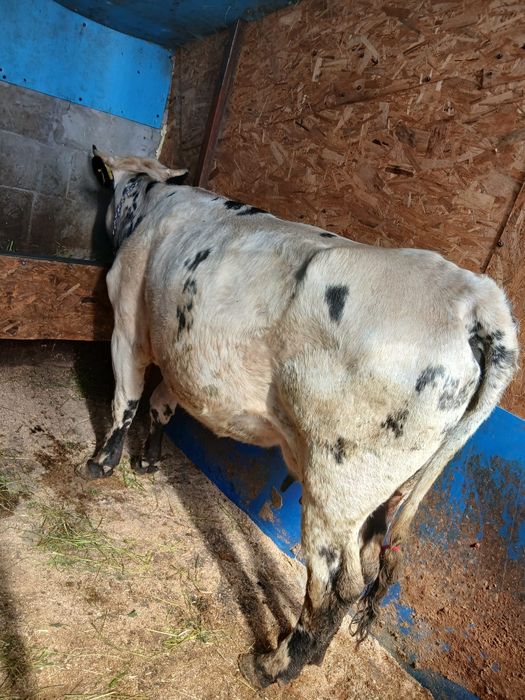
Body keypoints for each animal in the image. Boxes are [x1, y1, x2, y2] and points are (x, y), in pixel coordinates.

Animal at [88, 147, 518, 688]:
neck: (151, 202)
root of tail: (475, 295)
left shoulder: (128, 323)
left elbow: (125, 398)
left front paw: (102, 462)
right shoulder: (179, 350)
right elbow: (164, 401)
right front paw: (147, 460)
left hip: (336, 482)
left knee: (335, 585)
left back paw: (271, 666)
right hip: (382, 490)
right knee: (364, 570)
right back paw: (310, 655)